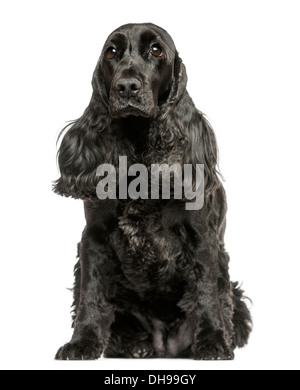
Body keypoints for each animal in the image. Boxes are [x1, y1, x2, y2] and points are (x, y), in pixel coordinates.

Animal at [53, 23, 251, 360]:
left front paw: (212, 342)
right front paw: (82, 342)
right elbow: (90, 294)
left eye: (156, 50)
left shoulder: (201, 236)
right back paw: (135, 347)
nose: (126, 87)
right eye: (112, 52)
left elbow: (206, 293)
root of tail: (164, 346)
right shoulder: (94, 236)